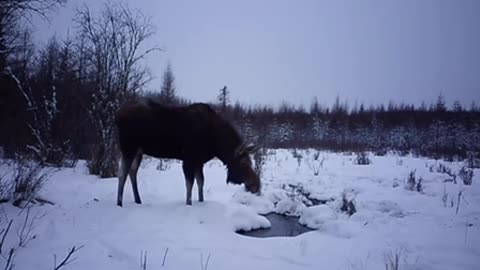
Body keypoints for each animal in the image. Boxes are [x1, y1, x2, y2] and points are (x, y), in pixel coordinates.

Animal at [115, 99, 260, 207]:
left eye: (250, 161)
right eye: (243, 163)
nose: (256, 186)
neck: (216, 143)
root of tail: (118, 115)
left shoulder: (198, 161)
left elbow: (200, 182)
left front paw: (201, 201)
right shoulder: (189, 159)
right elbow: (189, 184)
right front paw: (188, 204)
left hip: (139, 151)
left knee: (132, 171)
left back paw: (138, 200)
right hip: (128, 148)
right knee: (122, 174)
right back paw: (119, 203)